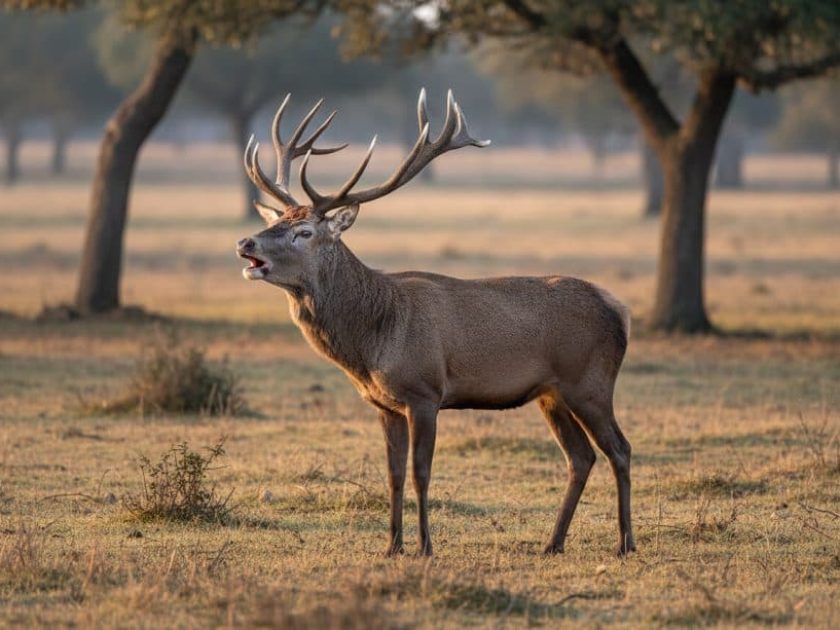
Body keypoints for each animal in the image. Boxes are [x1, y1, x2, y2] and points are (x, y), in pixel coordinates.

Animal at [236, 90, 635, 558]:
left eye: (304, 232)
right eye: (276, 221)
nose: (245, 242)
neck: (373, 340)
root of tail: (619, 311)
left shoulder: (424, 392)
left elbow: (420, 473)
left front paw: (425, 546)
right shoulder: (383, 404)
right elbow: (392, 475)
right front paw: (391, 546)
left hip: (589, 383)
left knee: (619, 449)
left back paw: (626, 543)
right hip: (551, 393)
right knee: (580, 456)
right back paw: (552, 543)